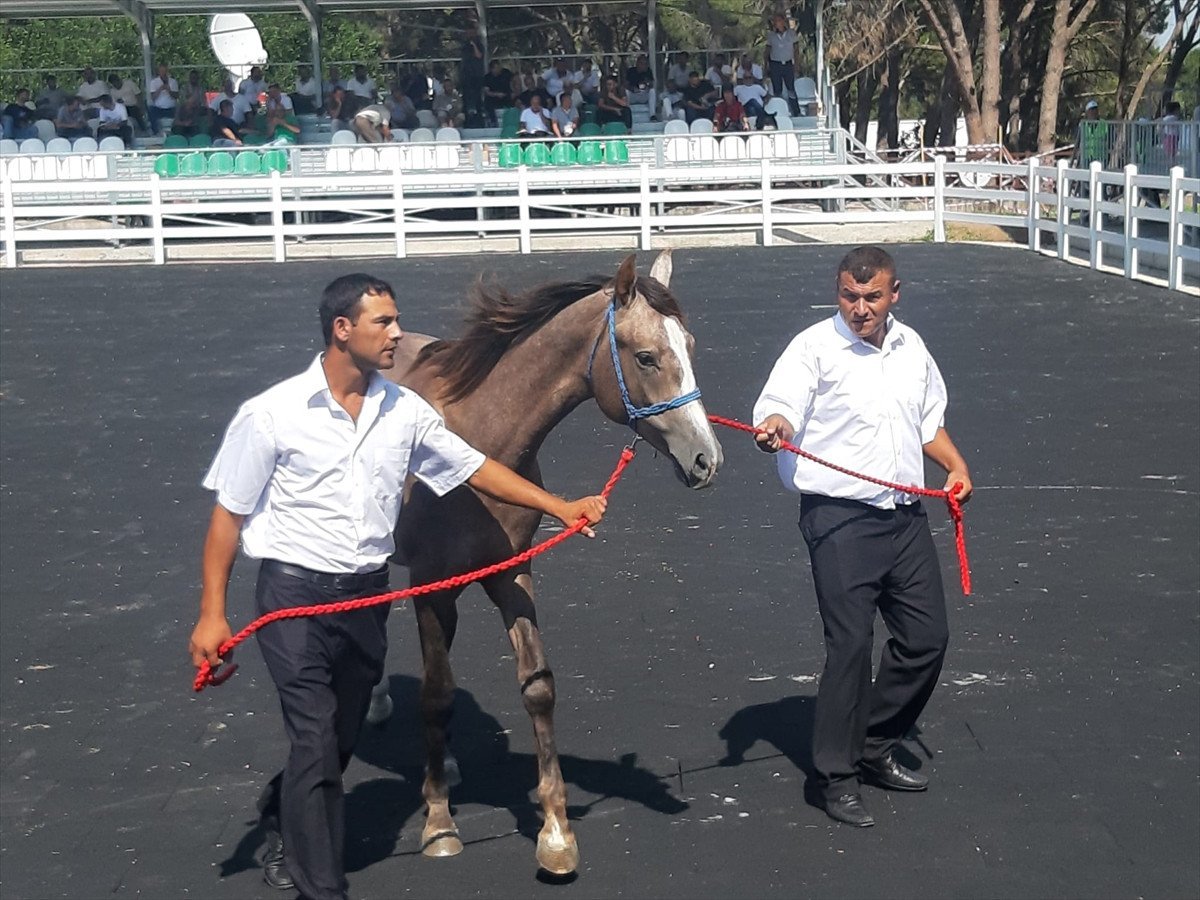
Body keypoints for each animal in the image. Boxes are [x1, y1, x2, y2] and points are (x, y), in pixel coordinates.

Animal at [369, 252, 720, 873]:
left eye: (691, 346)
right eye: (647, 356)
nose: (706, 458)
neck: (477, 442)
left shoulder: (513, 573)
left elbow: (537, 686)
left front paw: (556, 832)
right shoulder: (434, 585)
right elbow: (436, 694)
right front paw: (438, 821)